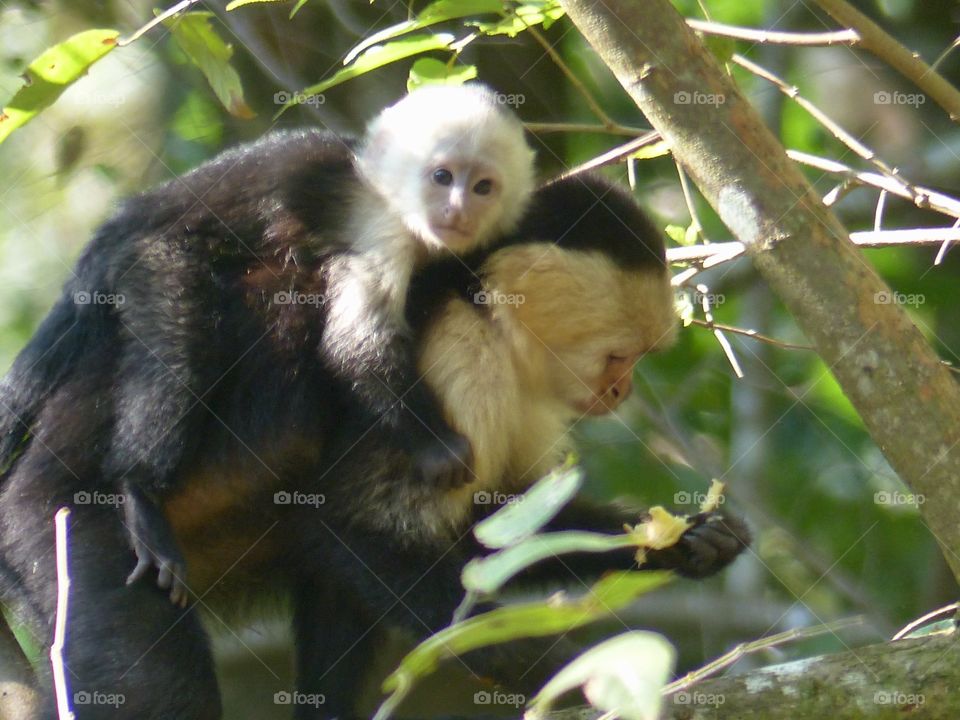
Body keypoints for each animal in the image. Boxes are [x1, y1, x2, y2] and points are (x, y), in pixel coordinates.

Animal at [0, 83, 537, 608]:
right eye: (442, 177)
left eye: (483, 187)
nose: (458, 209)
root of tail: (127, 221)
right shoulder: (383, 229)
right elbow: (353, 345)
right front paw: (435, 445)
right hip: (153, 264)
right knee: (180, 357)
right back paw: (139, 491)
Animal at [0, 174, 748, 720]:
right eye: (620, 356)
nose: (622, 390)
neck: (486, 310)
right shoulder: (452, 357)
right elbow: (356, 520)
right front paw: (559, 667)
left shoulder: (522, 392)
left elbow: (494, 526)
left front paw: (683, 540)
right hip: (62, 528)